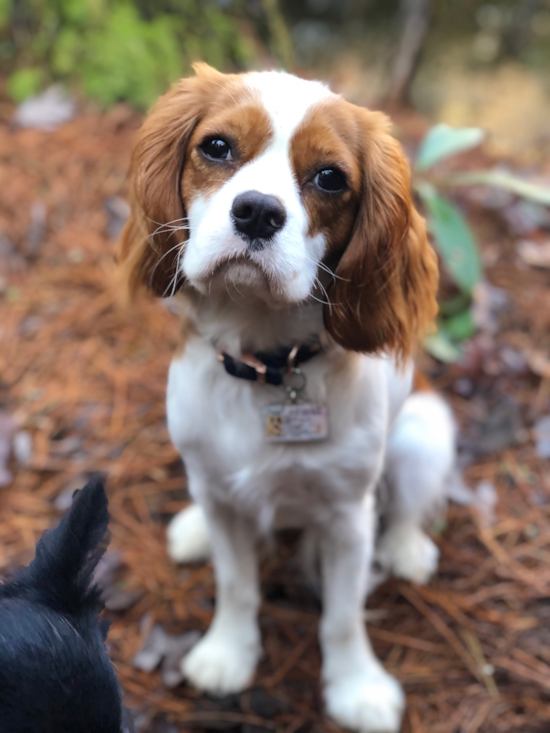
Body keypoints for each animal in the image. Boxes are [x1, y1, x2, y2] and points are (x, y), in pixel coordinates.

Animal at [119, 64, 458, 732]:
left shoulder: (350, 517)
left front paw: (357, 688)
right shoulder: (223, 496)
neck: (268, 367)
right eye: (216, 147)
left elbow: (342, 617)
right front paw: (227, 653)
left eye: (330, 177)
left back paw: (406, 548)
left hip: (425, 431)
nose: (256, 212)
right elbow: (237, 585)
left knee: (409, 503)